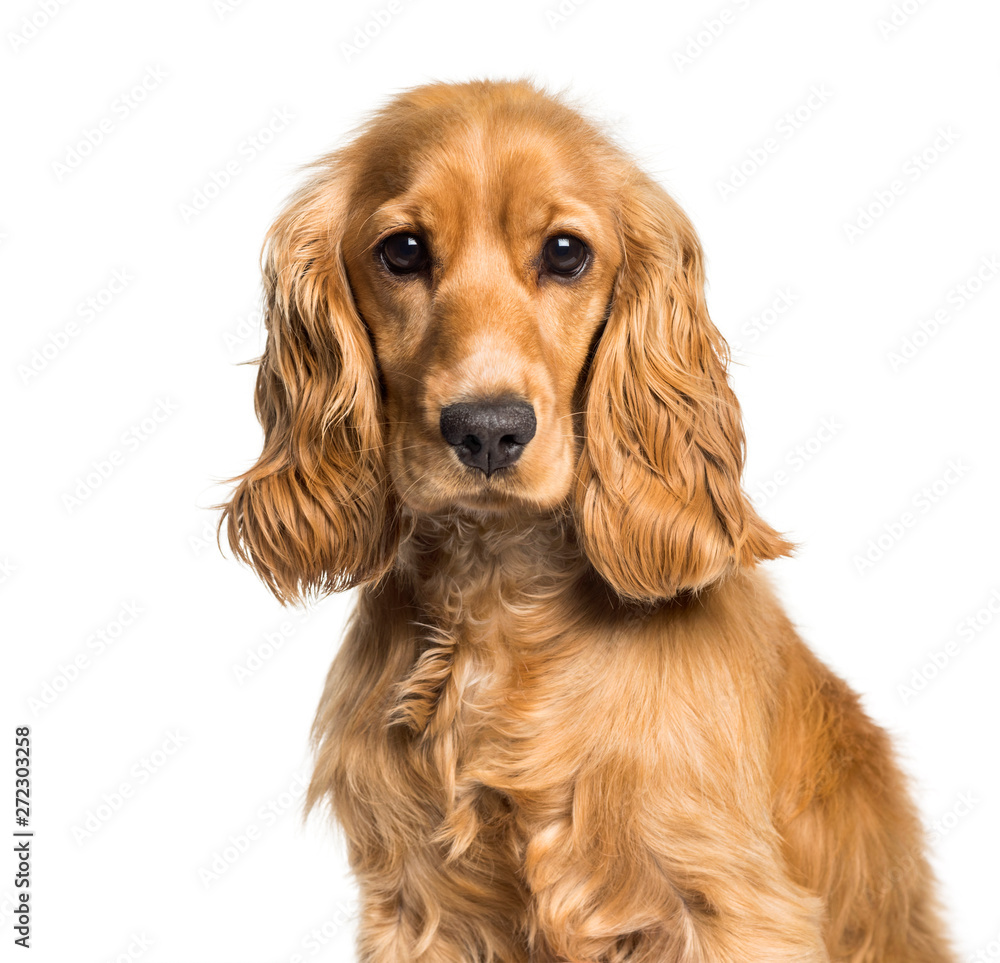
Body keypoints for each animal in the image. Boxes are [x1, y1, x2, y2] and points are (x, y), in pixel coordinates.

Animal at [223, 79, 956, 960]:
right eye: (401, 250)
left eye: (566, 251)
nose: (489, 429)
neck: (498, 600)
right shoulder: (412, 902)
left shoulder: (730, 903)